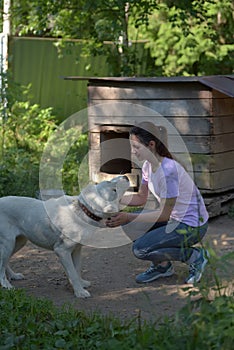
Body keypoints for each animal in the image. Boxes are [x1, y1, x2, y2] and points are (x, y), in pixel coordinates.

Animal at [0, 175, 130, 298]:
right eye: (114, 190)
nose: (126, 177)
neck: (84, 211)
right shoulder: (62, 250)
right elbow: (72, 273)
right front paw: (80, 292)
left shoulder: (77, 249)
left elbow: (77, 269)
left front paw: (81, 284)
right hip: (8, 244)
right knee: (1, 265)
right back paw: (6, 285)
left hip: (19, 242)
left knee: (5, 262)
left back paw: (13, 276)